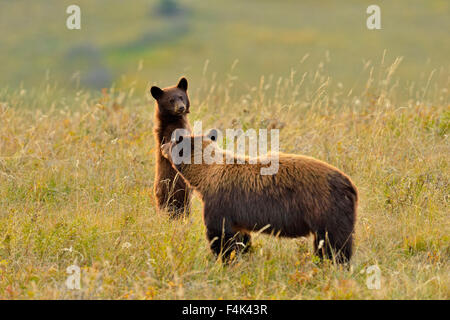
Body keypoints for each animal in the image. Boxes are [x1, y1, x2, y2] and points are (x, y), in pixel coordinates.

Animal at [162, 131, 358, 264]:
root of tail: (350, 185)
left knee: (335, 244)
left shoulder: (220, 201)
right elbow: (240, 238)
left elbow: (220, 235)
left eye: (172, 141)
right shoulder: (236, 215)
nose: (162, 146)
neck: (207, 174)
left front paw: (223, 259)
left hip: (326, 208)